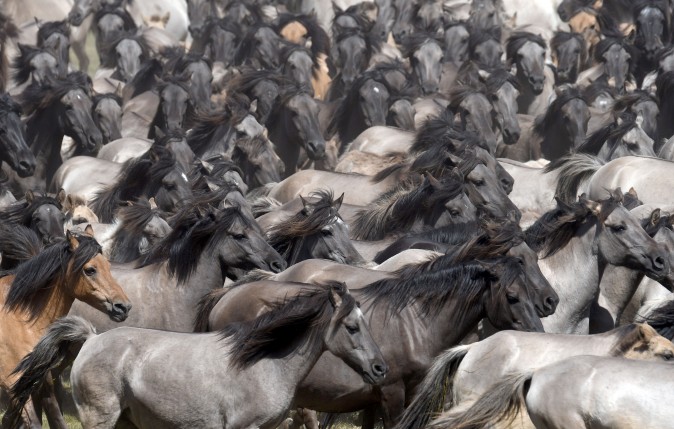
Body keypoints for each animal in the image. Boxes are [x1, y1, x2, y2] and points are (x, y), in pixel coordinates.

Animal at [0, 225, 131, 428]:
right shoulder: (12, 383)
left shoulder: (39, 381)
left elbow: (54, 417)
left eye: (108, 267)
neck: (20, 318)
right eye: (90, 270)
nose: (123, 307)